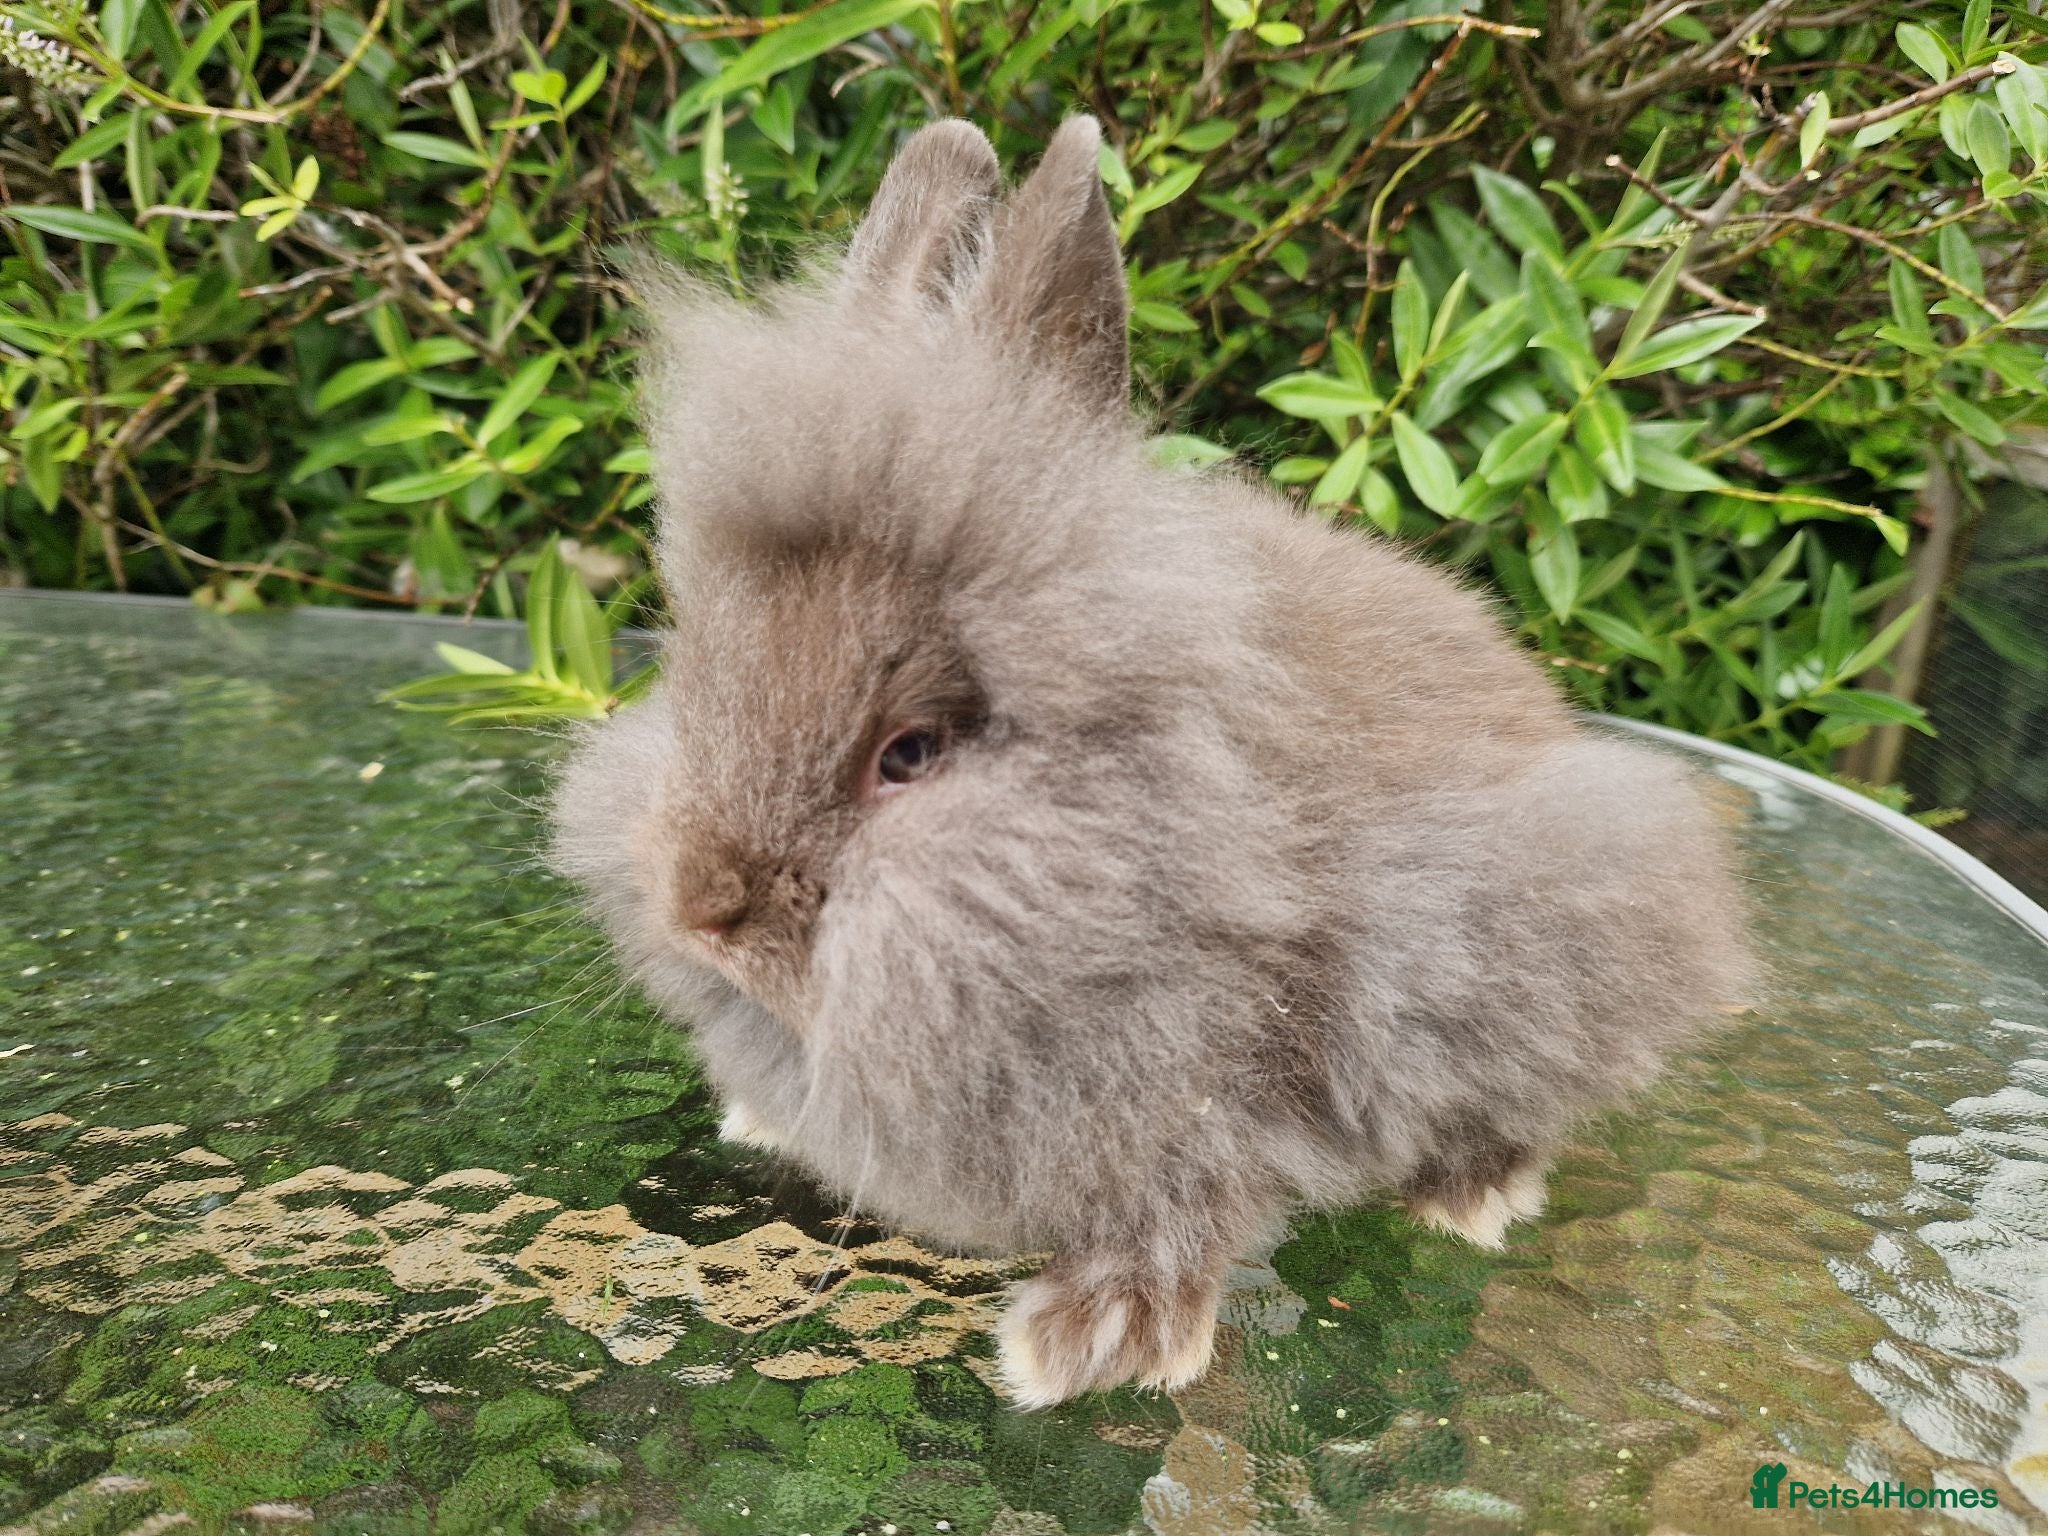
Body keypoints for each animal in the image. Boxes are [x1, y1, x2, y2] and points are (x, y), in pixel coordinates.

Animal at [548, 114, 1754, 1409]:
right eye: (699, 666)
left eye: (908, 755)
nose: (701, 911)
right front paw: (760, 1125)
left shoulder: (1222, 1074)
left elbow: (1182, 1205)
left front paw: (1087, 1348)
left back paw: (1468, 1199)